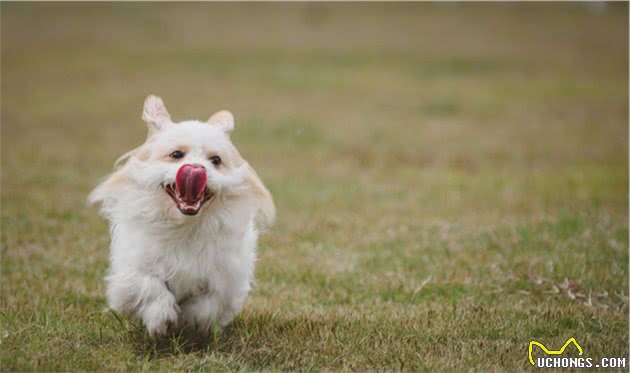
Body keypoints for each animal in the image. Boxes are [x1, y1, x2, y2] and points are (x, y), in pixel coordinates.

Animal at [89, 94, 276, 336]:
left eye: (216, 160)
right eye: (176, 154)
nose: (196, 168)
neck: (186, 226)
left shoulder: (226, 280)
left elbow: (207, 305)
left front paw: (188, 321)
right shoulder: (132, 271)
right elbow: (151, 286)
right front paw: (162, 319)